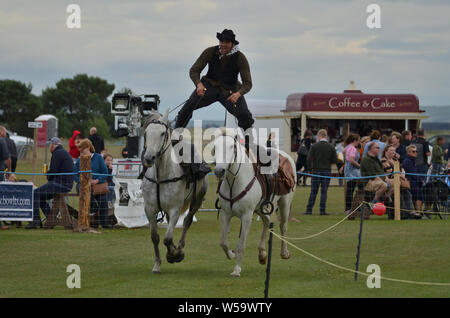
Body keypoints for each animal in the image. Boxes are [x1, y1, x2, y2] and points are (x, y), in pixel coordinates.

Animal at [142, 110, 208, 274]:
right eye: (146, 132)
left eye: (162, 133)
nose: (149, 158)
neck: (161, 177)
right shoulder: (150, 209)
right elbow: (155, 237)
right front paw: (157, 264)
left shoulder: (174, 210)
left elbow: (167, 238)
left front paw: (174, 254)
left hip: (197, 200)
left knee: (187, 221)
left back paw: (180, 247)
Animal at [213, 128, 298, 278]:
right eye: (215, 147)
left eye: (232, 146)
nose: (219, 171)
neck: (235, 182)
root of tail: (286, 156)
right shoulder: (225, 214)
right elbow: (223, 242)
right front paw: (231, 255)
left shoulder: (247, 216)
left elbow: (241, 245)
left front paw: (237, 269)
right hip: (261, 208)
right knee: (267, 222)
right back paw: (262, 254)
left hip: (285, 203)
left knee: (283, 226)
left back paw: (284, 253)